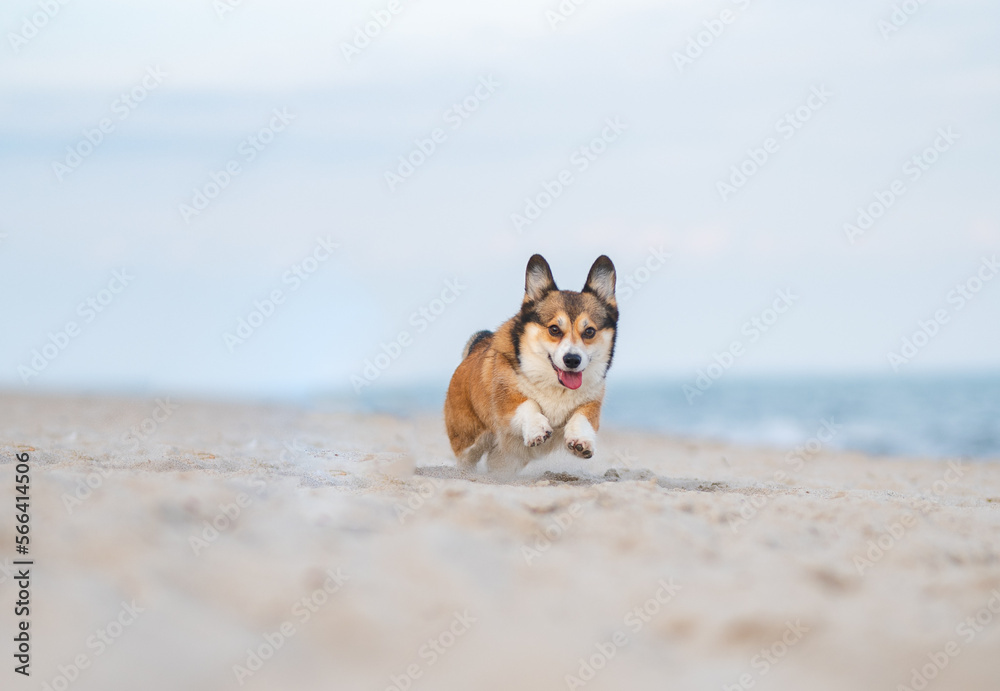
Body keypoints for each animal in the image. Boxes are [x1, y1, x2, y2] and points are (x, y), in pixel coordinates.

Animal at [446, 255, 616, 476]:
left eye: (589, 332)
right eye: (554, 329)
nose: (572, 360)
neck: (556, 387)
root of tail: (475, 347)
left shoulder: (591, 403)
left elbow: (582, 417)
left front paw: (581, 441)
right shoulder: (507, 402)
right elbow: (529, 403)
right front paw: (537, 429)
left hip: (508, 460)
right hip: (468, 441)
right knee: (466, 459)